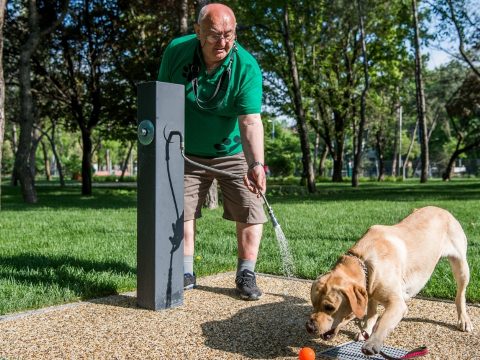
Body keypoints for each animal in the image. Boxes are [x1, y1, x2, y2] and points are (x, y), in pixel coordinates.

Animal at [308, 207, 472, 356]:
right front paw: (366, 330)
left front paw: (373, 342)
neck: (363, 261)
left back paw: (464, 319)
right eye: (314, 304)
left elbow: (383, 321)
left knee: (460, 295)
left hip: (461, 266)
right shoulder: (370, 289)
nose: (309, 327)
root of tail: (443, 209)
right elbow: (372, 313)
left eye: (329, 307)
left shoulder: (395, 303)